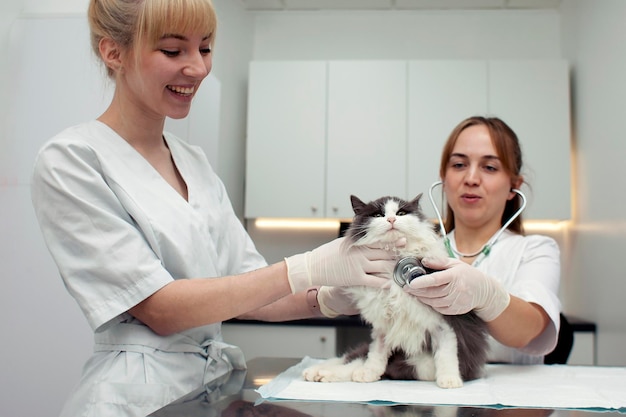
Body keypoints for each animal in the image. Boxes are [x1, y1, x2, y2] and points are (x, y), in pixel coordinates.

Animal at [302, 193, 488, 388]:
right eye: (378, 215)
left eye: (401, 213)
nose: (391, 219)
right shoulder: (383, 326)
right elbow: (376, 354)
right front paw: (368, 373)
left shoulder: (443, 325)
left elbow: (446, 354)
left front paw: (450, 380)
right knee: (351, 358)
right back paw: (316, 372)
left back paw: (320, 373)